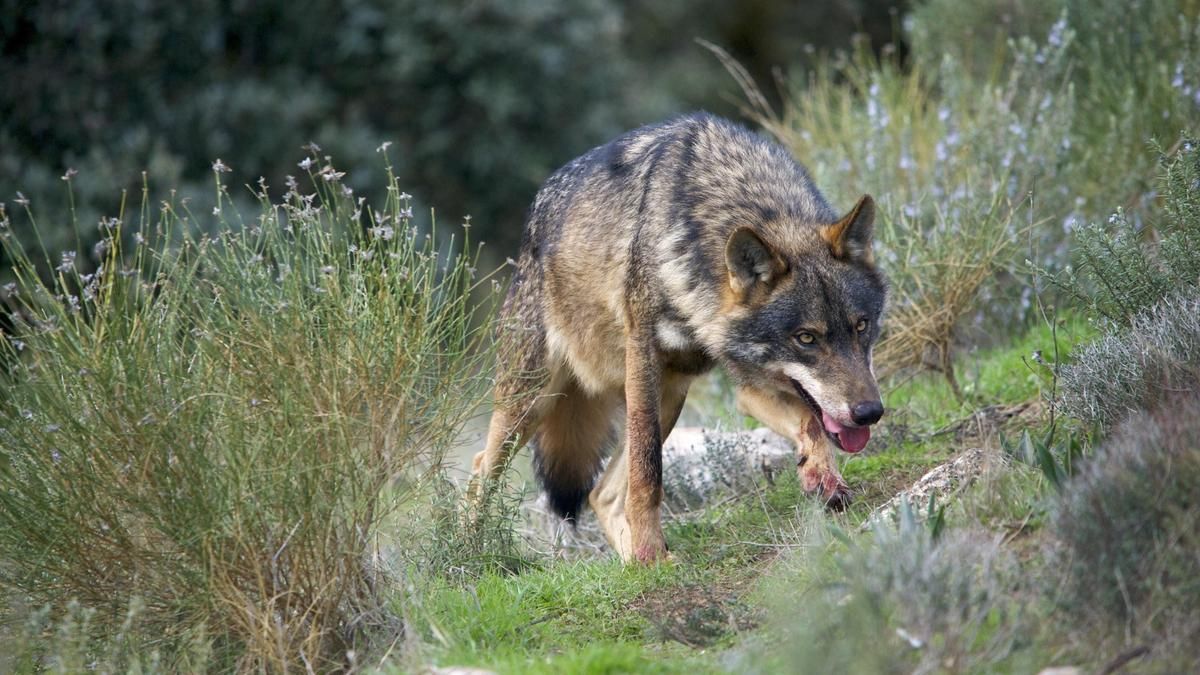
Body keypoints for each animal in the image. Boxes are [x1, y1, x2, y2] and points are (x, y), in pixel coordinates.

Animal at [469, 112, 887, 563]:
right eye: (806, 338)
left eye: (861, 326)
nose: (869, 413)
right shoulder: (644, 359)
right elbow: (648, 474)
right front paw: (650, 548)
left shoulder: (749, 382)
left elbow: (811, 422)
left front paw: (822, 477)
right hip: (533, 402)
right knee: (480, 469)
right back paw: (471, 552)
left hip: (670, 395)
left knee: (601, 494)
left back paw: (636, 564)